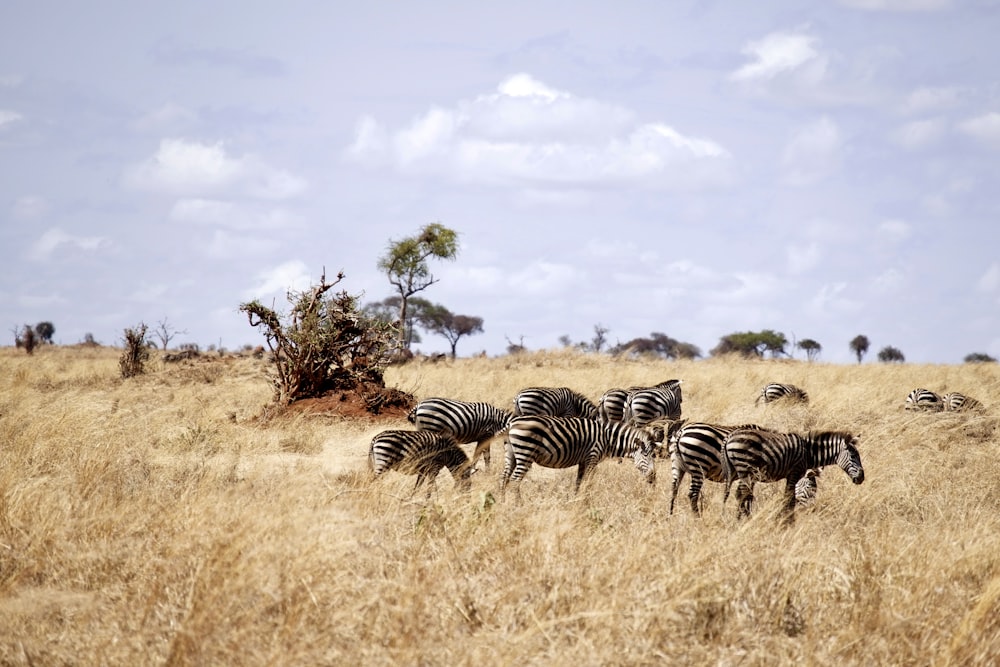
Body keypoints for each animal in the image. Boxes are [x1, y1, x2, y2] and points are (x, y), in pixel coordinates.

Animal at [500, 414, 664, 498]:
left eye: (653, 455)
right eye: (645, 454)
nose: (653, 478)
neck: (608, 438)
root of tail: (512, 423)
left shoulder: (583, 461)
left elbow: (579, 483)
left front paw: (576, 500)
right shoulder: (592, 458)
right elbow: (587, 483)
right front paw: (586, 502)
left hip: (511, 453)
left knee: (504, 477)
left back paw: (502, 503)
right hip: (525, 452)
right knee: (515, 480)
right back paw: (518, 505)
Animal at [724, 428, 864, 520]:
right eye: (853, 456)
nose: (862, 478)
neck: (809, 453)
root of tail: (729, 437)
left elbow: (789, 497)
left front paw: (785, 519)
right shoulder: (794, 472)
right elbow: (789, 498)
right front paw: (787, 521)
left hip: (742, 471)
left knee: (740, 494)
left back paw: (741, 519)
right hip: (746, 469)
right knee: (742, 494)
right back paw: (745, 519)